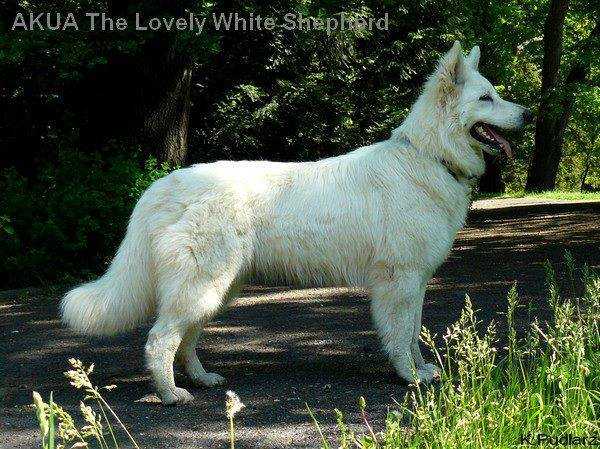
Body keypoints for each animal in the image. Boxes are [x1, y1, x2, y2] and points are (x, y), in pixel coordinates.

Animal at [62, 42, 536, 404]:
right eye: (486, 99)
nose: (529, 115)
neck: (429, 156)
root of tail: (162, 186)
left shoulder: (415, 280)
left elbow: (415, 330)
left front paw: (421, 369)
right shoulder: (399, 280)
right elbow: (402, 334)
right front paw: (408, 376)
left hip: (216, 289)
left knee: (186, 339)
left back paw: (200, 378)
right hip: (203, 286)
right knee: (160, 340)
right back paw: (171, 394)